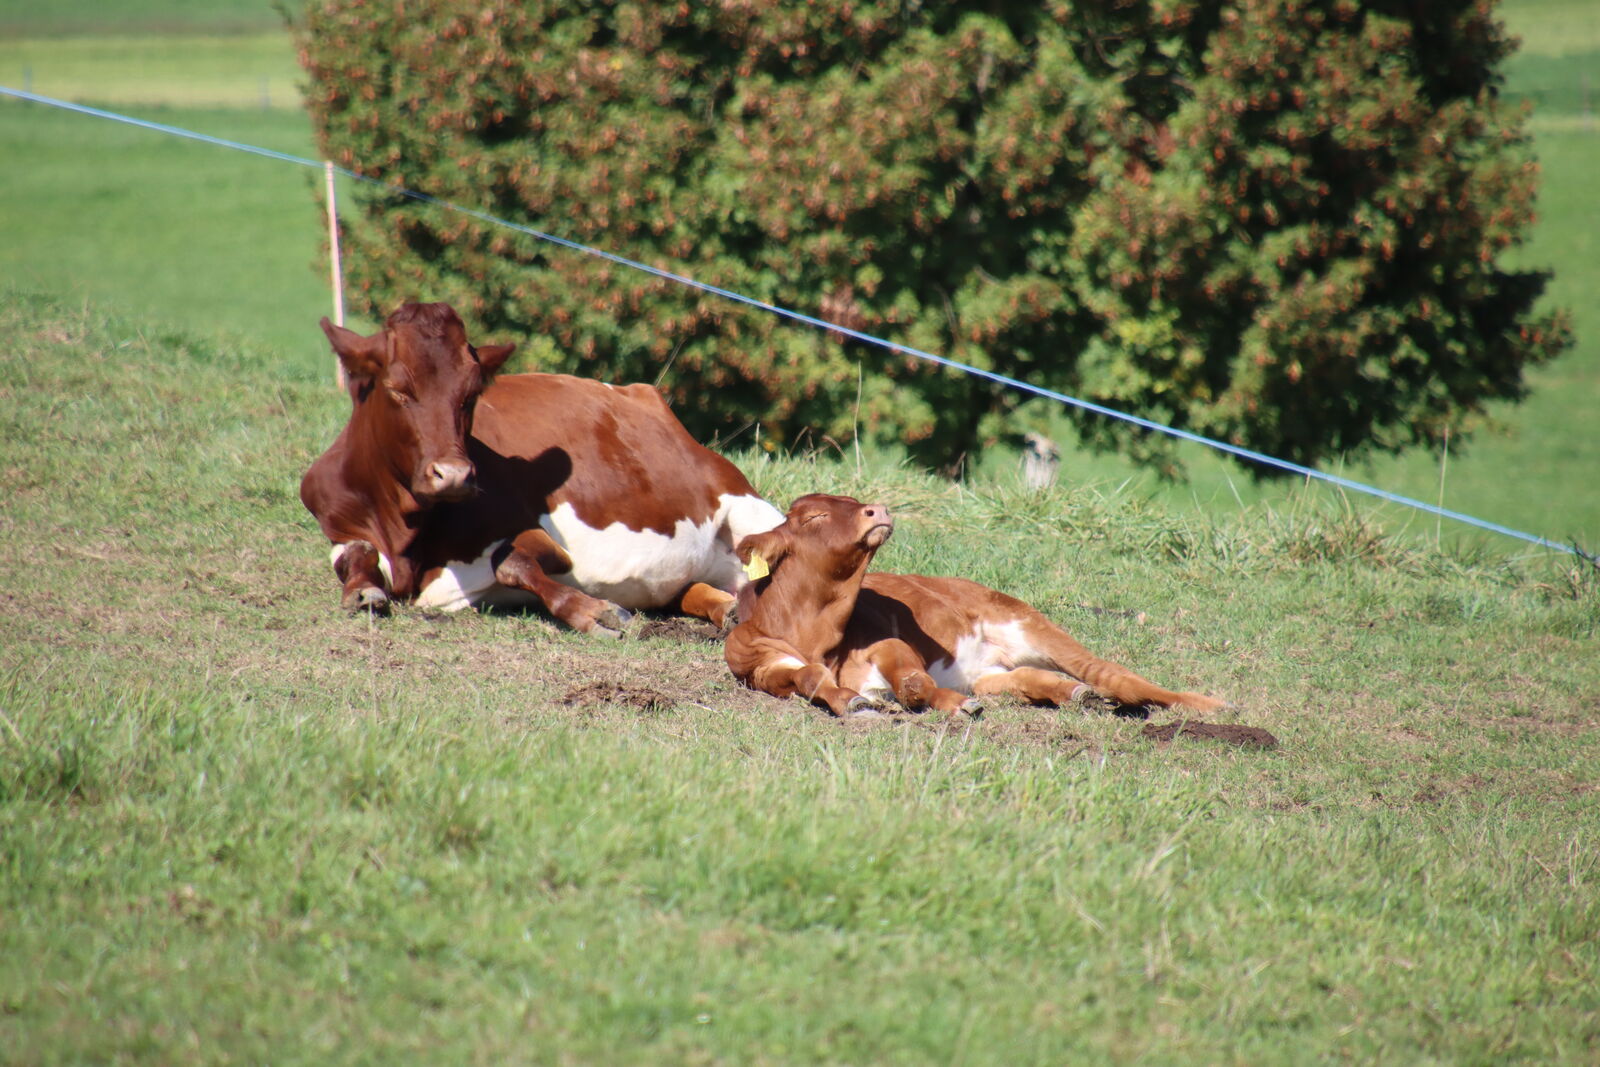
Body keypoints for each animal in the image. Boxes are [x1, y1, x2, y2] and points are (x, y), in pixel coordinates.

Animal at [299, 302, 782, 636]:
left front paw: (593, 611)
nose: (454, 475)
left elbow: (509, 560)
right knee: (693, 589)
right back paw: (727, 608)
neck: (404, 529)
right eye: (398, 389)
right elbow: (355, 554)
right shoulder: (338, 520)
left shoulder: (536, 535)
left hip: (750, 511)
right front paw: (362, 590)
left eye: (471, 394)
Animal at [725, 493, 1227, 717]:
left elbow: (913, 682)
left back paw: (1208, 705)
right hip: (990, 671)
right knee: (1028, 679)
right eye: (814, 515)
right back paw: (1073, 693)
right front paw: (852, 700)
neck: (817, 637)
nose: (878, 510)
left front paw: (951, 704)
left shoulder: (886, 641)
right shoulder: (758, 666)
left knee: (1116, 675)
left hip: (1029, 622)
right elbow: (809, 678)